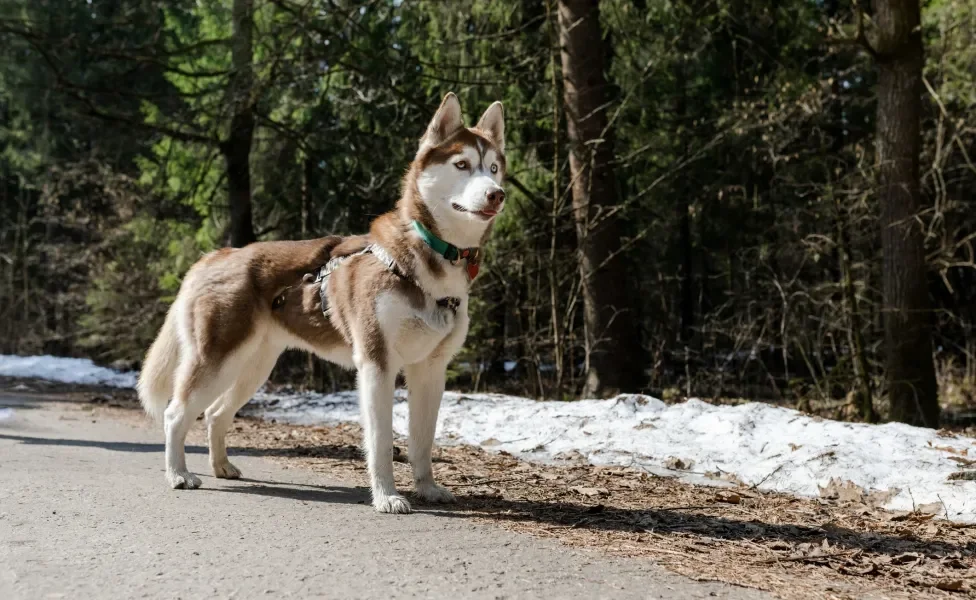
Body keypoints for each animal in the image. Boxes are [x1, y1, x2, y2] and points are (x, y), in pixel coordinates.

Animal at [141, 92, 508, 510]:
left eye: (493, 168)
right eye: (462, 164)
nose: (497, 194)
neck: (429, 258)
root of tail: (216, 255)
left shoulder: (430, 370)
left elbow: (422, 441)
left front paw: (427, 488)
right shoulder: (377, 363)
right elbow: (381, 442)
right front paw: (386, 496)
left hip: (253, 366)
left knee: (217, 414)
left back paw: (222, 467)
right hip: (216, 361)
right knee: (176, 413)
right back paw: (178, 474)